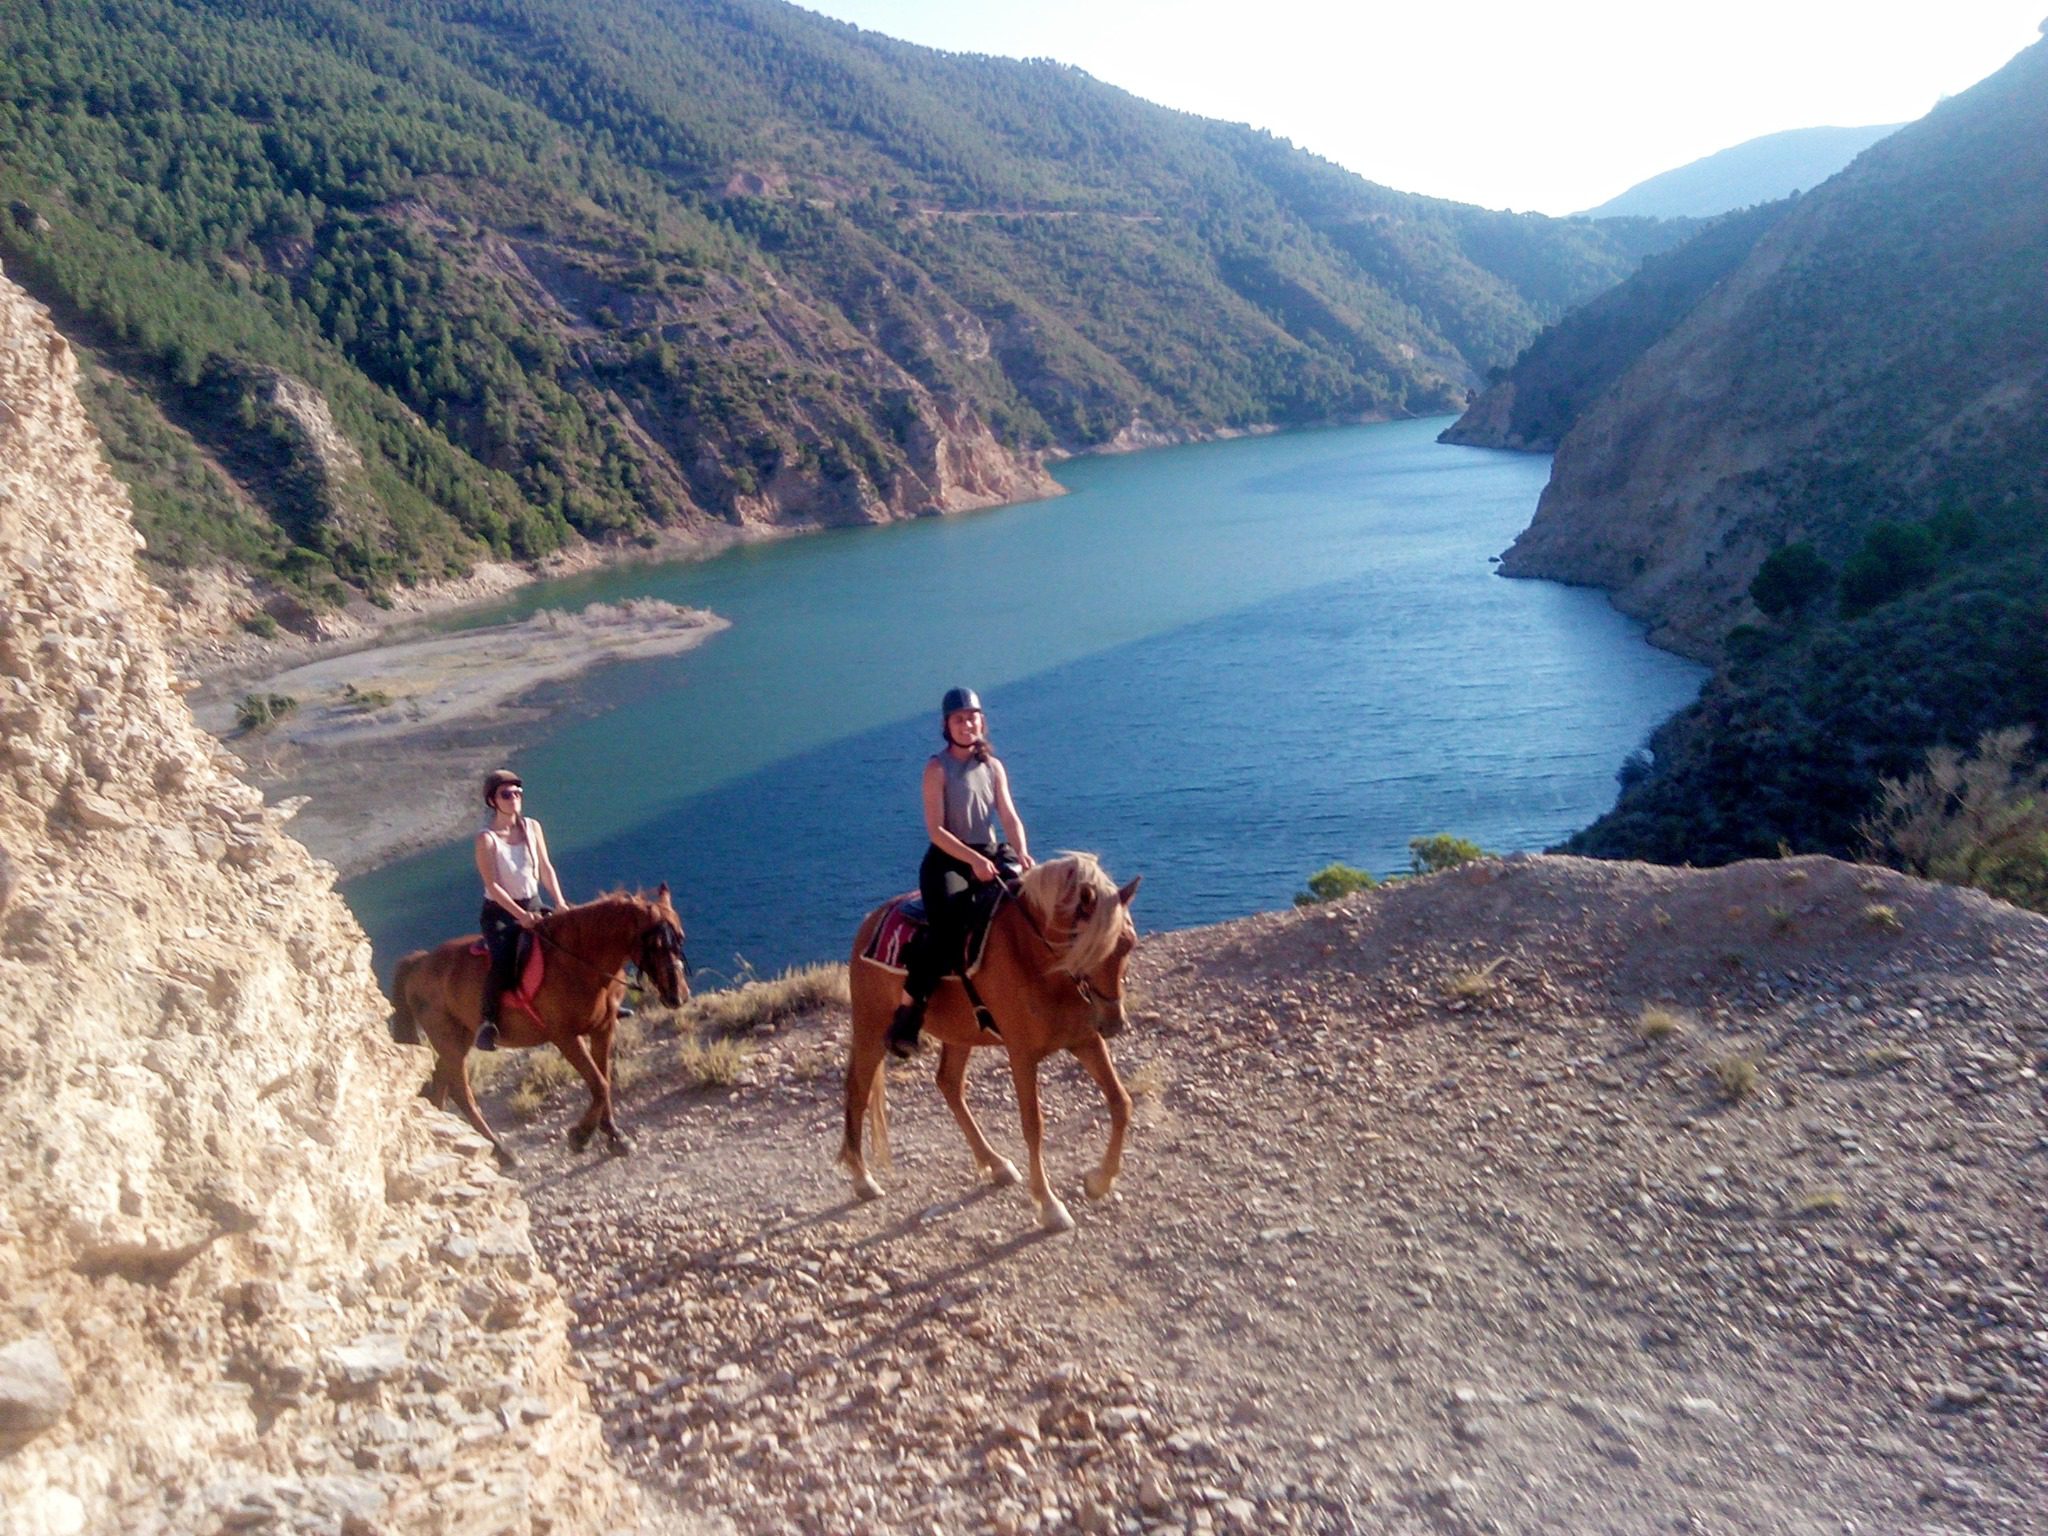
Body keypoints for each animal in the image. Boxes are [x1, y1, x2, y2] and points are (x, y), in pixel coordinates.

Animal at [387, 888, 692, 1163]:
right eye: (656, 945)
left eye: (680, 939)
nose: (678, 996)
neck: (578, 962)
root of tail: (420, 962)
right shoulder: (565, 1037)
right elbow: (599, 1083)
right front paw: (580, 1136)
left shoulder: (603, 1029)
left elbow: (603, 1080)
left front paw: (614, 1136)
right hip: (448, 1041)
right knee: (461, 1092)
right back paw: (502, 1152)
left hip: (459, 1040)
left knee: (441, 1082)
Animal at [839, 860, 1146, 1236]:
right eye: (1086, 946)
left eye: (1128, 944)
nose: (1113, 1022)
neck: (1034, 957)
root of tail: (869, 921)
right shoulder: (1022, 1054)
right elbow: (1033, 1125)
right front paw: (1050, 1206)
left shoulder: (1085, 1040)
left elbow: (1121, 1102)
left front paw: (1099, 1182)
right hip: (870, 1026)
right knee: (858, 1090)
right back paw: (863, 1179)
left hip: (959, 1034)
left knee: (949, 1083)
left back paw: (996, 1164)